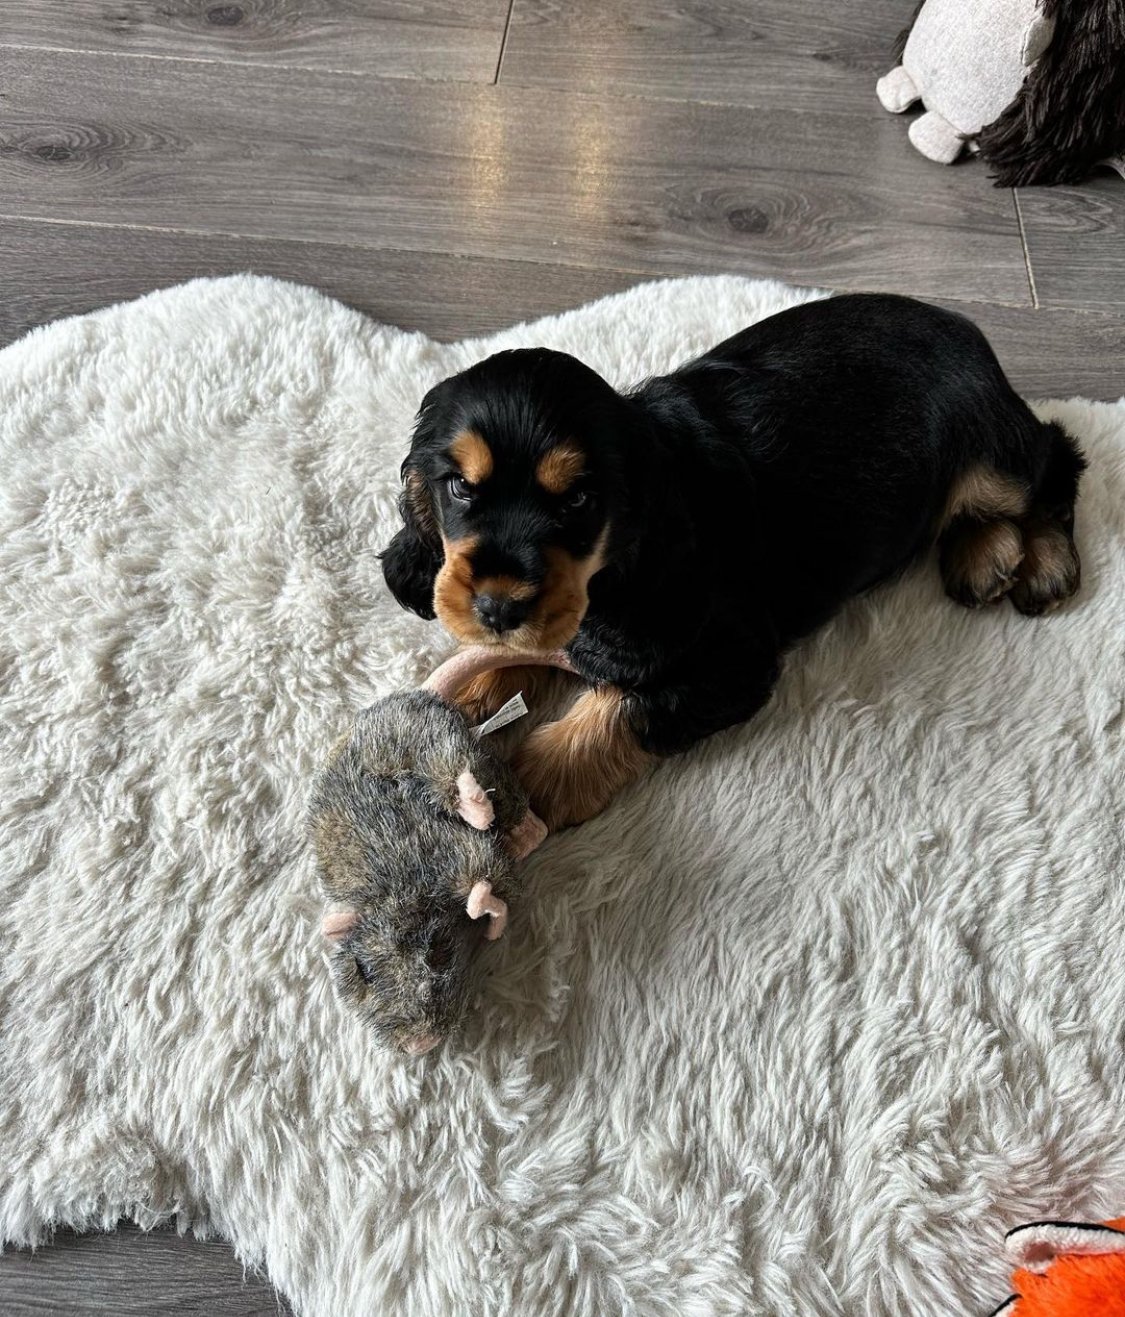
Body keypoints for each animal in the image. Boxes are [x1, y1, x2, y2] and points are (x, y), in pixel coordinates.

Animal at [382, 297, 1085, 827]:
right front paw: (450, 698)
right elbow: (510, 657)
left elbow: (629, 704)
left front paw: (535, 777)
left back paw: (1041, 563)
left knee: (1056, 460)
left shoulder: (736, 659)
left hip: (991, 453)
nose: (498, 607)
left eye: (578, 500)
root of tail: (974, 335)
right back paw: (986, 552)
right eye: (460, 487)